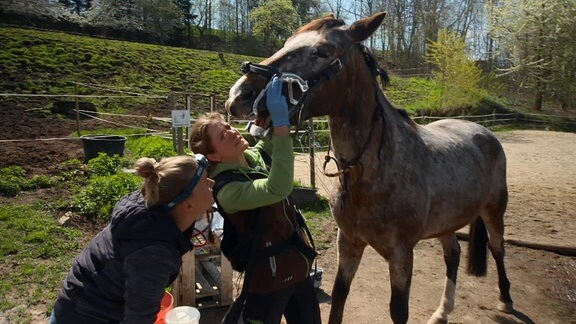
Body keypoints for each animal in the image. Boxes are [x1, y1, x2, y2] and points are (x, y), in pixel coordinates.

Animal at [224, 11, 512, 322]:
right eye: (287, 42)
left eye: (322, 51)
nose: (238, 95)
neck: (371, 172)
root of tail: (482, 132)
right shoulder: (349, 243)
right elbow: (339, 297)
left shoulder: (401, 255)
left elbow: (398, 311)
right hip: (448, 222)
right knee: (453, 254)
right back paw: (442, 311)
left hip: (494, 210)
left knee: (497, 248)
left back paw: (505, 300)